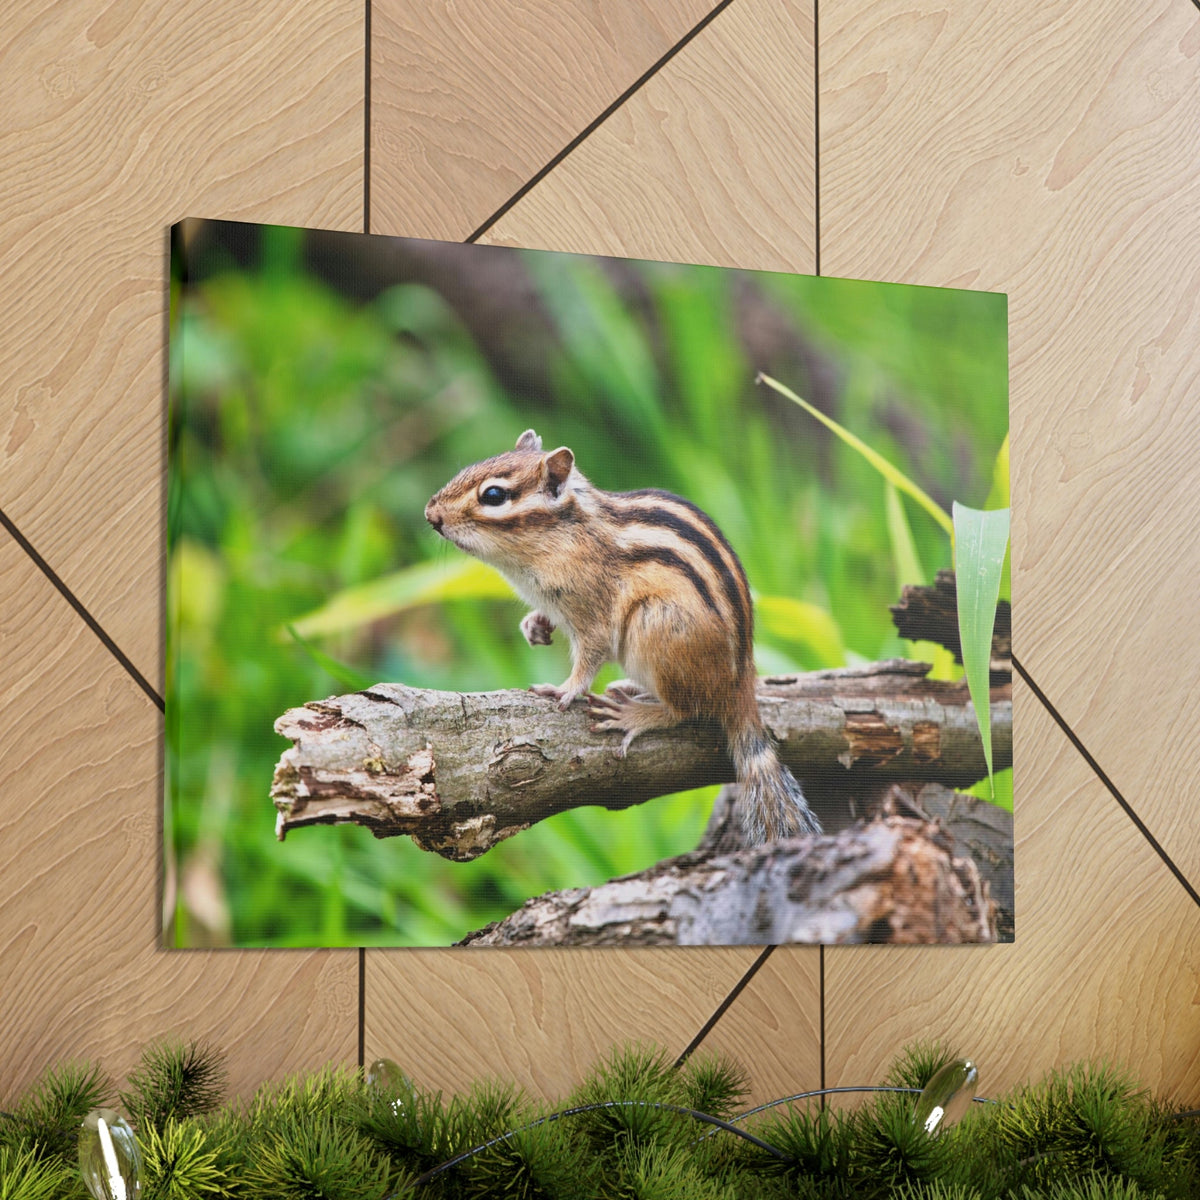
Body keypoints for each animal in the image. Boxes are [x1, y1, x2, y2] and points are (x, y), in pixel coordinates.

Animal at [424, 429, 821, 845]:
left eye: (493, 495)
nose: (430, 515)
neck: (562, 536)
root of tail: (740, 685)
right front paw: (534, 626)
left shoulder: (594, 613)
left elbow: (590, 656)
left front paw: (564, 689)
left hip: (655, 627)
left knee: (685, 710)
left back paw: (634, 713)